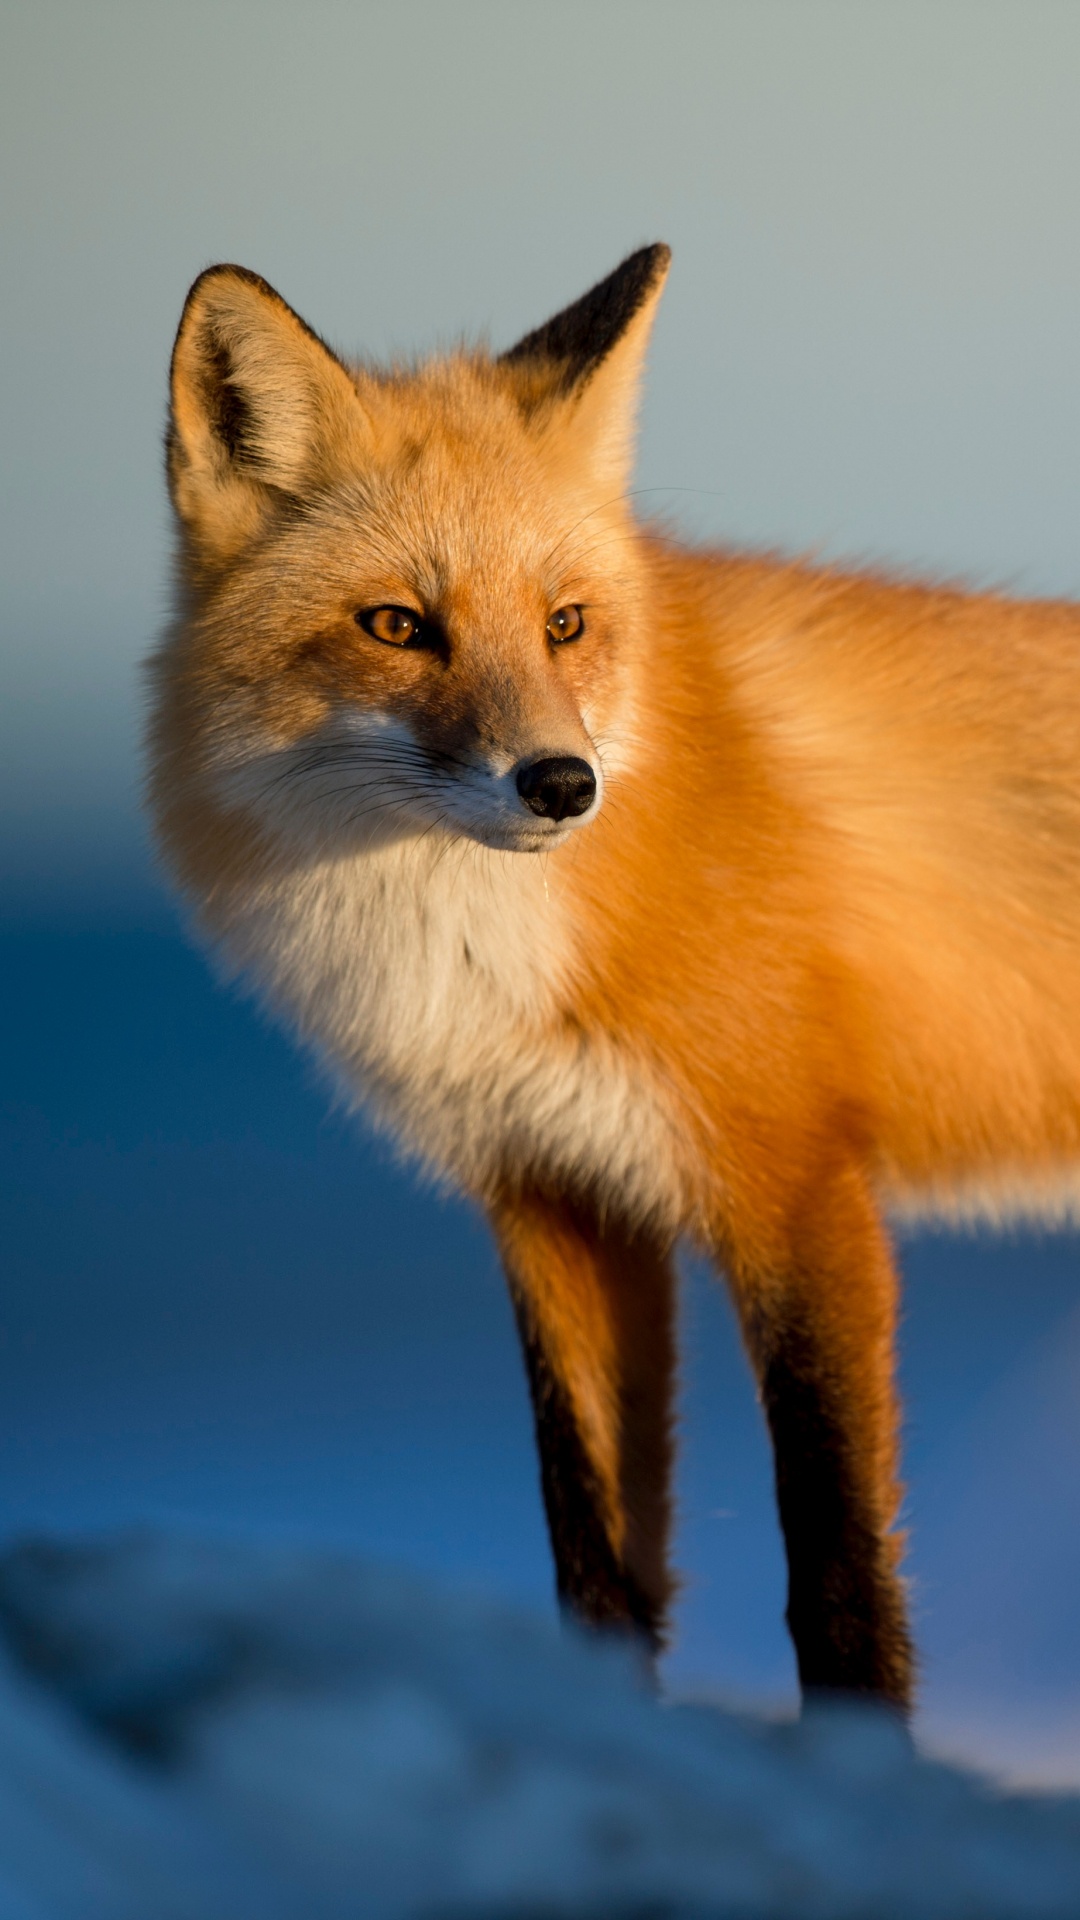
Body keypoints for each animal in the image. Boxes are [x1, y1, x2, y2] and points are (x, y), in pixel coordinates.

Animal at [146, 243, 1080, 1713]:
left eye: (566, 624)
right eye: (397, 625)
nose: (561, 784)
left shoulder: (796, 1182)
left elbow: (836, 1565)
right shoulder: (557, 1195)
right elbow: (593, 1553)